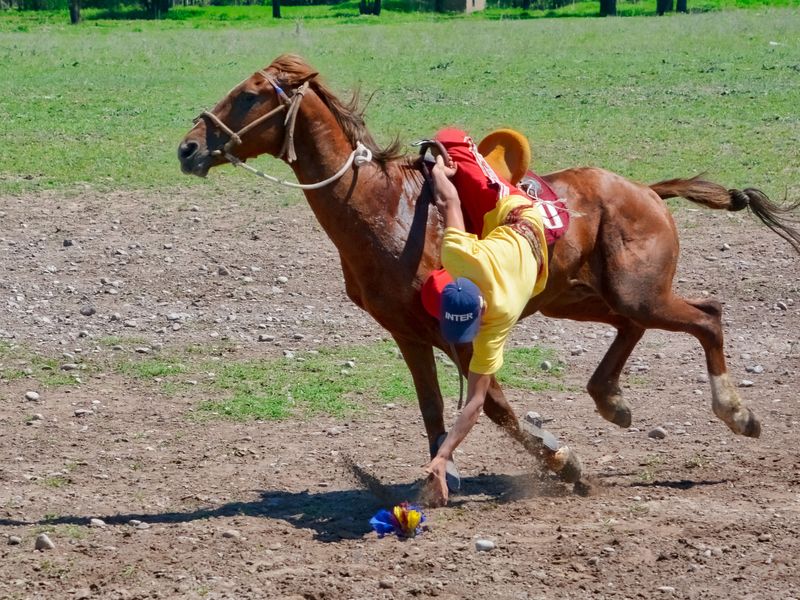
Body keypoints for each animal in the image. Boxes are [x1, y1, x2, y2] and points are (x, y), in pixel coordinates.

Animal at [180, 55, 800, 496]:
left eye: (251, 94)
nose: (188, 147)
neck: (383, 207)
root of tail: (646, 190)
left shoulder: (461, 331)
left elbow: (495, 405)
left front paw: (565, 463)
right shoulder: (408, 333)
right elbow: (433, 405)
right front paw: (445, 470)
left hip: (638, 292)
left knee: (707, 316)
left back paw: (736, 412)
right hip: (581, 297)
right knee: (636, 327)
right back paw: (611, 399)